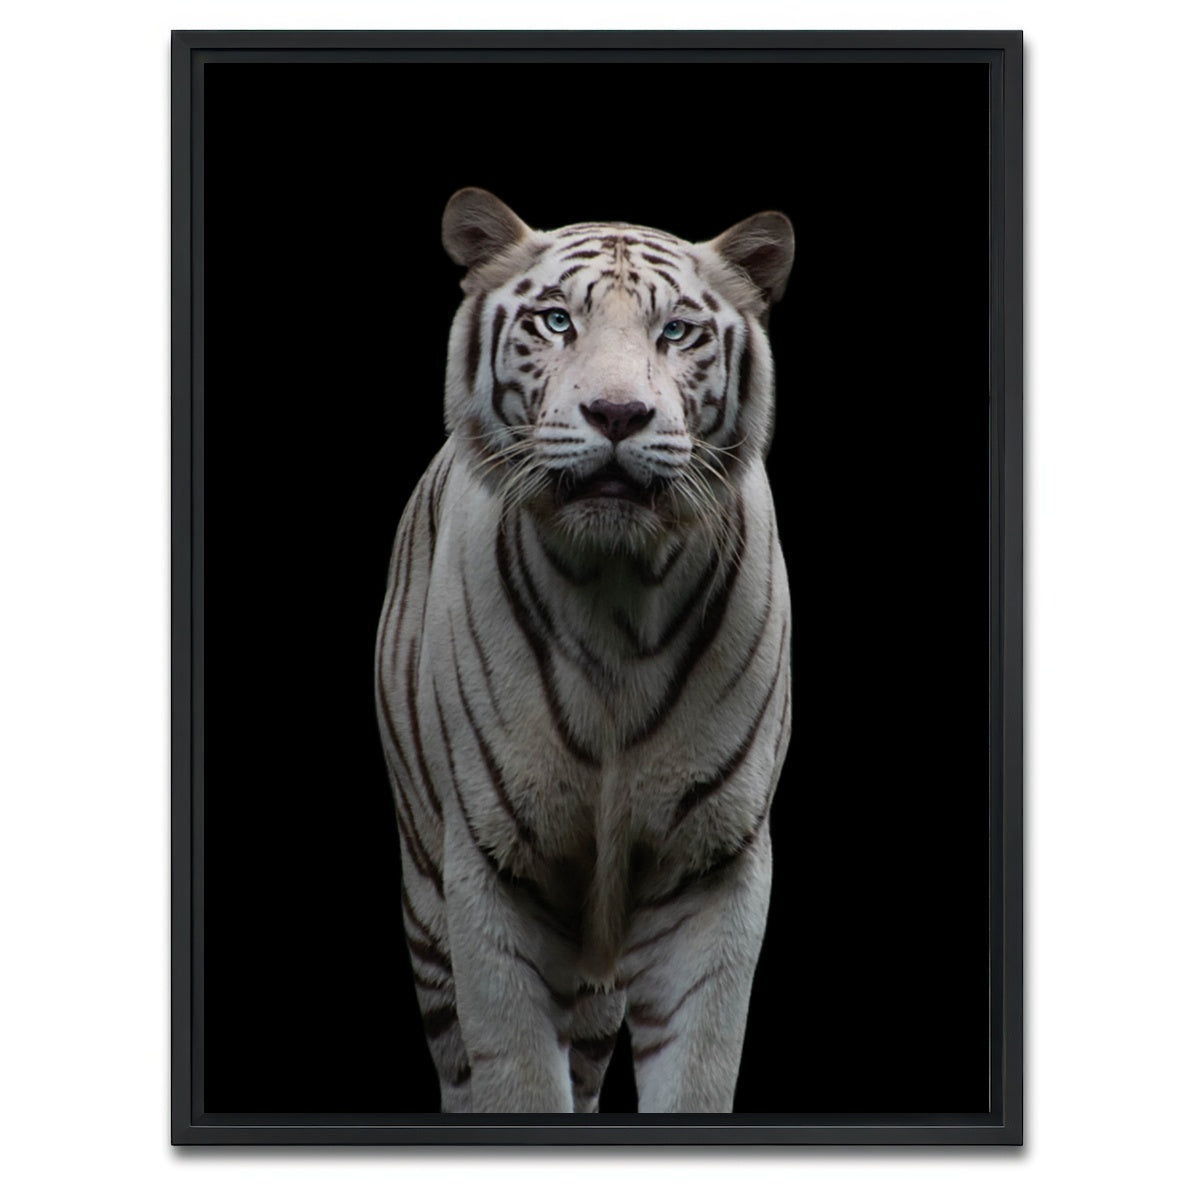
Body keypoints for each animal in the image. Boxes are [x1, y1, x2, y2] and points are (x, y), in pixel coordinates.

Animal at [374, 188, 793, 1114]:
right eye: (558, 321)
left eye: (677, 330)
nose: (617, 414)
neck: (618, 596)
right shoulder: (491, 867)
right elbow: (517, 1075)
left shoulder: (715, 865)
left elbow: (698, 1071)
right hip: (426, 901)